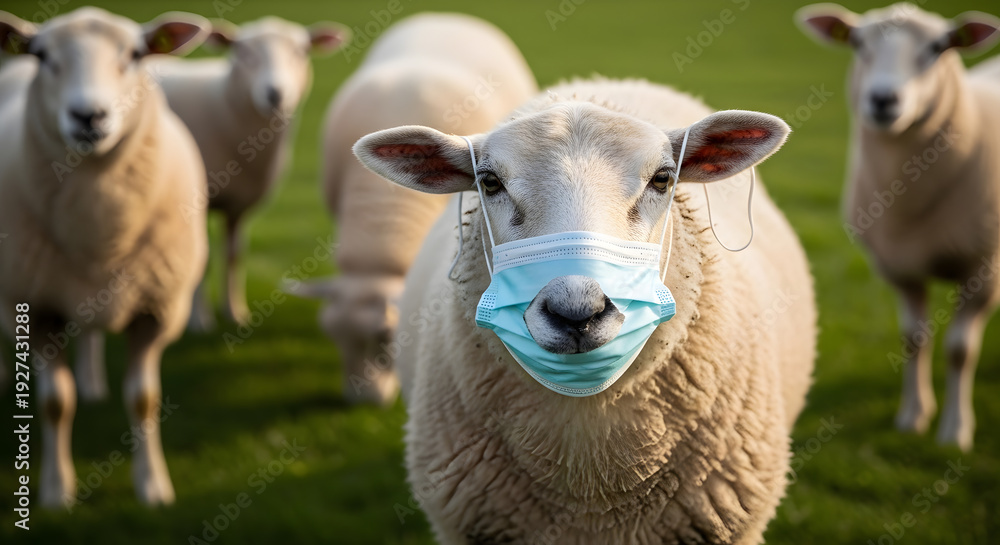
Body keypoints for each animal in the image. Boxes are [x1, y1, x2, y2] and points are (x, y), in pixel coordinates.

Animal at [0, 7, 210, 507]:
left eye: (134, 54)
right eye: (41, 55)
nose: (88, 115)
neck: (99, 233)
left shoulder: (158, 310)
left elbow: (143, 399)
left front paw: (152, 487)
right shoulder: (36, 311)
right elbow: (54, 403)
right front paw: (56, 492)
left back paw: (92, 381)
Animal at [149, 16, 350, 330]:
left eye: (302, 51)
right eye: (242, 52)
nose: (275, 93)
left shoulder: (240, 203)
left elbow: (234, 256)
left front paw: (235, 314)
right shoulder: (196, 200)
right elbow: (202, 257)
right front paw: (199, 322)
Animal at [797, 3, 1000, 451]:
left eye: (939, 47)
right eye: (857, 42)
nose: (883, 99)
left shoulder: (984, 270)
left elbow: (961, 350)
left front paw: (955, 431)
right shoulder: (900, 266)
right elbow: (913, 340)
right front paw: (913, 417)